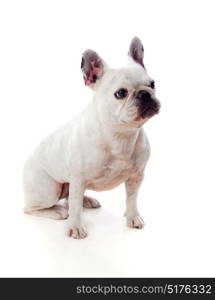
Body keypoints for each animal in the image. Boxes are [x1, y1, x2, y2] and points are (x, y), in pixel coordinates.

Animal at [23, 38, 160, 239]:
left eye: (152, 84)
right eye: (121, 93)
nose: (145, 94)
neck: (120, 134)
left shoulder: (137, 176)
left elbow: (132, 198)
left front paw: (133, 217)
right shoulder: (78, 178)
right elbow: (75, 208)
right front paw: (75, 227)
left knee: (70, 198)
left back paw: (86, 201)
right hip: (49, 190)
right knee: (33, 208)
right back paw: (57, 212)